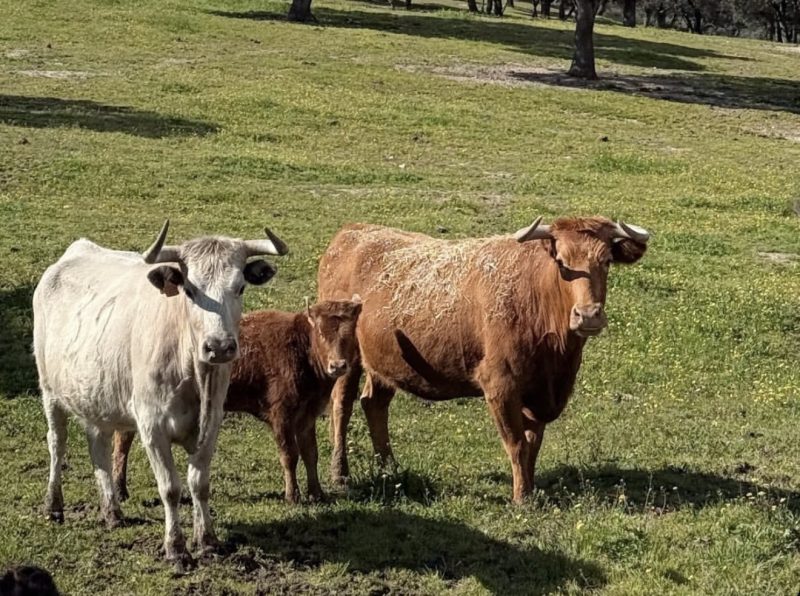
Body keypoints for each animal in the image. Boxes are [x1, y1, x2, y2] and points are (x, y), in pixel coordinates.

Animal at [32, 221, 288, 570]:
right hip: (50, 390)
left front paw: (207, 540)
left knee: (98, 444)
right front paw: (176, 548)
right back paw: (53, 505)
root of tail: (76, 251)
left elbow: (199, 483)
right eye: (190, 291)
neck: (192, 372)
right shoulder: (151, 425)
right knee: (56, 443)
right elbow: (170, 487)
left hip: (97, 394)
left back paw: (111, 511)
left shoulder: (213, 422)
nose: (219, 346)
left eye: (240, 288)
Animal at [111, 297, 362, 505]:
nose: (338, 365)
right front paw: (293, 496)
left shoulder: (307, 416)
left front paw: (318, 493)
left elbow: (311, 453)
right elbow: (290, 455)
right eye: (321, 333)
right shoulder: (281, 416)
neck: (301, 347)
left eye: (349, 334)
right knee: (122, 442)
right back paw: (120, 491)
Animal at [317, 216, 649, 503]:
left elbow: (533, 444)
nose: (588, 315)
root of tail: (351, 232)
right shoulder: (501, 386)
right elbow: (516, 443)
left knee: (374, 403)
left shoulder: (539, 392)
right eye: (562, 263)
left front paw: (530, 489)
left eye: (606, 261)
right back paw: (340, 474)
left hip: (385, 363)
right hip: (347, 360)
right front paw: (521, 498)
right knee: (342, 407)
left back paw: (391, 469)